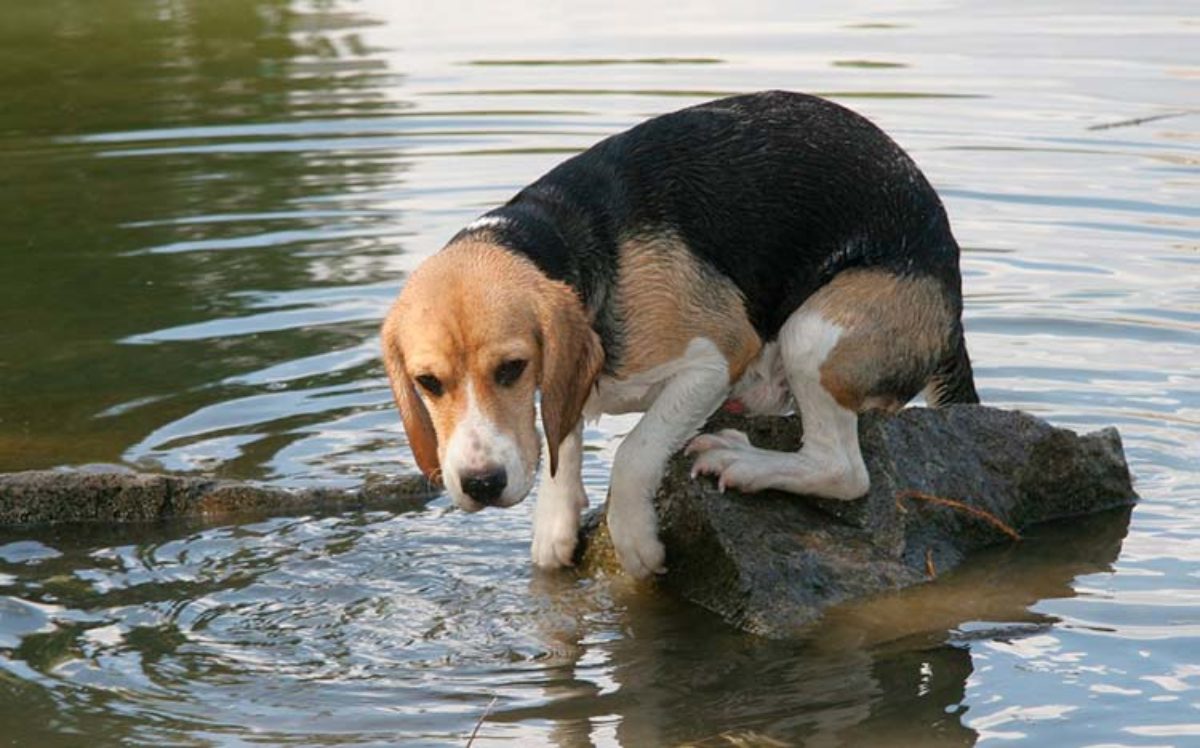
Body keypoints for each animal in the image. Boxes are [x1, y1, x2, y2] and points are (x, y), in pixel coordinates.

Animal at [379, 89, 979, 578]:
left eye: (512, 369)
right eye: (428, 383)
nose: (480, 484)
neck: (558, 237)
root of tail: (952, 309)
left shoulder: (714, 360)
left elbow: (635, 451)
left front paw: (634, 540)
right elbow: (561, 433)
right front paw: (554, 521)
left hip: (814, 333)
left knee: (843, 471)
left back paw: (746, 463)